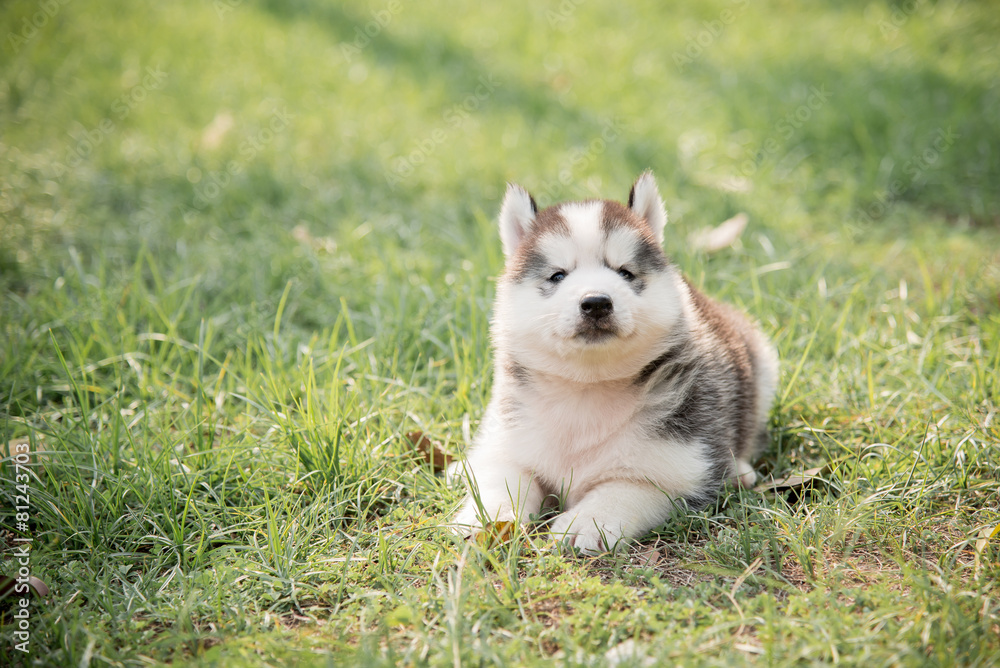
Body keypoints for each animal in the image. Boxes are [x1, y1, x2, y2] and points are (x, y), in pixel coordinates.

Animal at [454, 172, 780, 552]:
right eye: (558, 276)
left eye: (625, 273)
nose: (596, 302)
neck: (586, 389)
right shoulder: (511, 439)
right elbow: (505, 478)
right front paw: (488, 518)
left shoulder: (676, 469)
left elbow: (623, 489)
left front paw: (587, 520)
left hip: (761, 366)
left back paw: (740, 471)